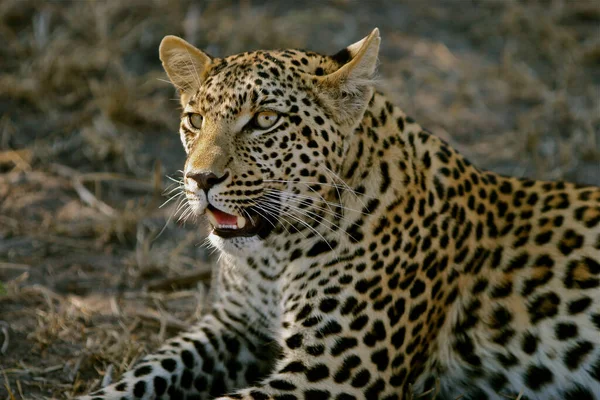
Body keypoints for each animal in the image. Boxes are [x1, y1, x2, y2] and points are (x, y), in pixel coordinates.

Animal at [79, 28, 600, 400]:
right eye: (194, 119)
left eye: (265, 120)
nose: (199, 179)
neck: (272, 256)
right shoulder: (233, 325)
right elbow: (149, 370)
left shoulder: (328, 374)